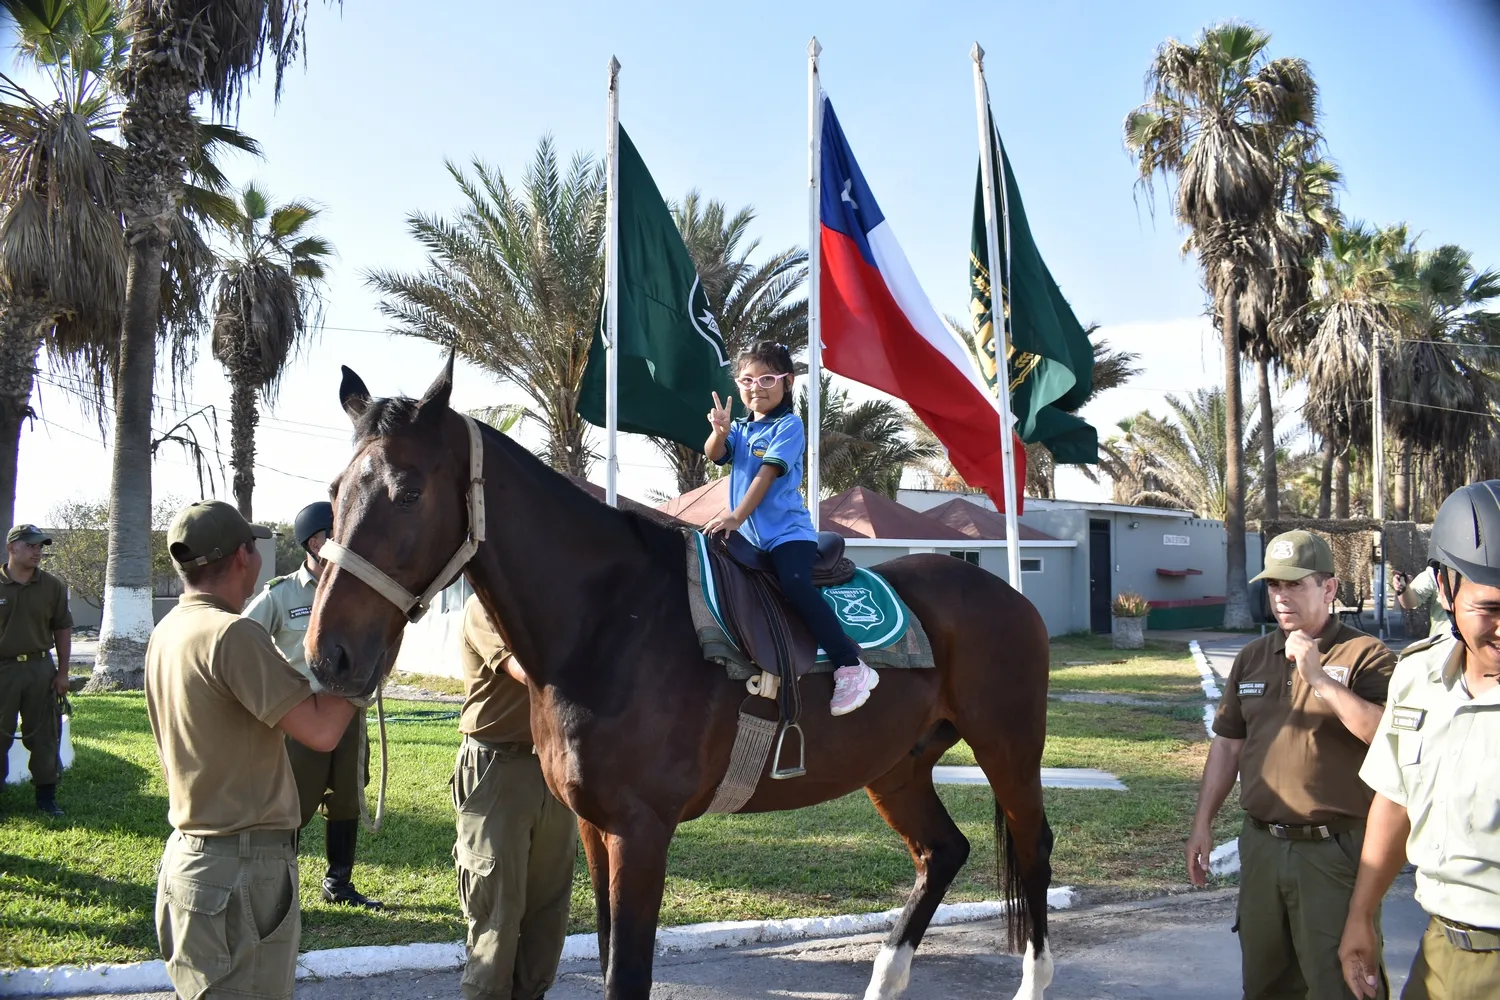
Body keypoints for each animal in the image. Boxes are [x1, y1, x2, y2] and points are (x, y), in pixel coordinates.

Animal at [306, 359, 1056, 1000]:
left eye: (407, 492)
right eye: (336, 492)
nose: (329, 655)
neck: (611, 619)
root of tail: (1009, 597)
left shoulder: (642, 831)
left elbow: (628, 975)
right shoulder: (595, 827)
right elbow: (611, 956)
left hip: (1008, 749)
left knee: (1033, 846)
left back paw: (1031, 981)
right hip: (896, 766)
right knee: (942, 851)